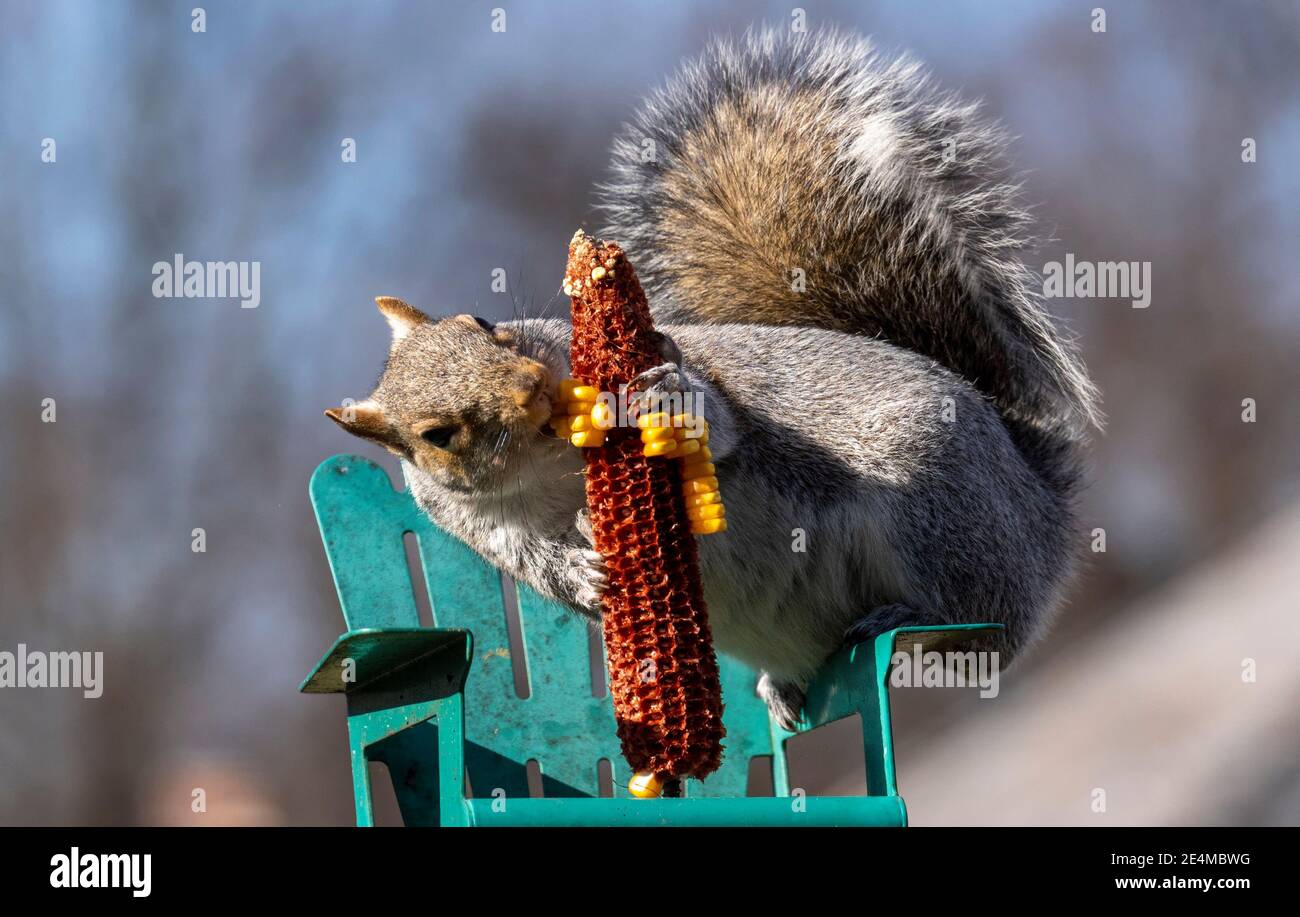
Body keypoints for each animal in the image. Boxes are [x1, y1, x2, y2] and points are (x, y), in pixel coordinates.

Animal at [325, 28, 1100, 729]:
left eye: (485, 322)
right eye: (437, 434)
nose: (533, 387)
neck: (549, 463)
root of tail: (1042, 506)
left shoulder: (709, 383)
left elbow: (724, 422)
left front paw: (668, 398)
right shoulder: (472, 522)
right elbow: (530, 562)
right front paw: (578, 571)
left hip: (937, 506)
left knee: (984, 625)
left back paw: (913, 615)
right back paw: (782, 687)